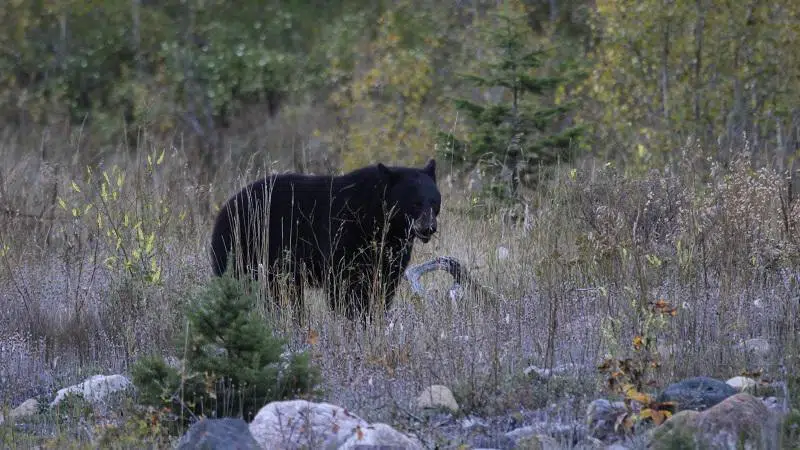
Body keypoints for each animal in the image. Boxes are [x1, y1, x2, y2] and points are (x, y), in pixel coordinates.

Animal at [210, 159, 441, 325]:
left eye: (434, 201)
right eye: (415, 203)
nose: (428, 227)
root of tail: (225, 207)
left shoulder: (392, 250)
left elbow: (385, 283)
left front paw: (375, 316)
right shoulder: (344, 233)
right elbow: (344, 283)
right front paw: (353, 318)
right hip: (245, 247)